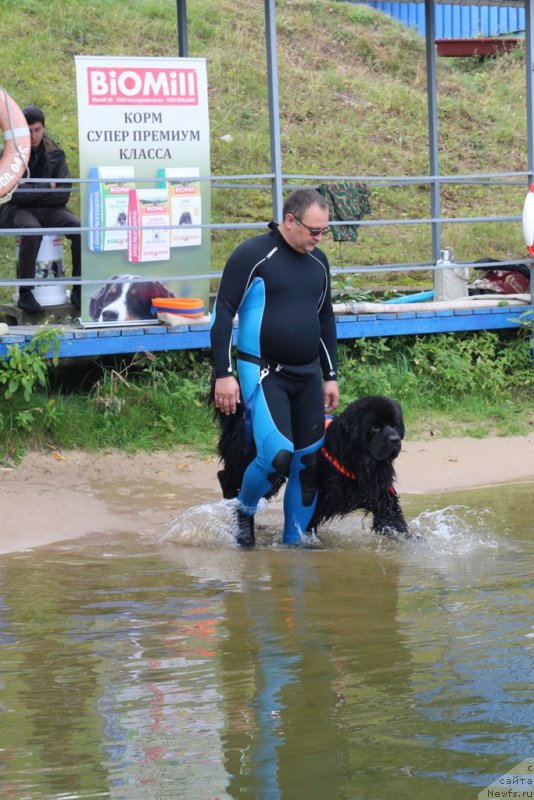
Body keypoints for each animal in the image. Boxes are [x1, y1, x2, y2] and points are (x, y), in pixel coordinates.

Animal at [216, 394, 412, 544]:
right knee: (228, 478)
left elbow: (395, 521)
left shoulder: (381, 494)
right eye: (375, 426)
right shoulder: (318, 498)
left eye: (394, 425)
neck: (355, 461)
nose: (395, 439)